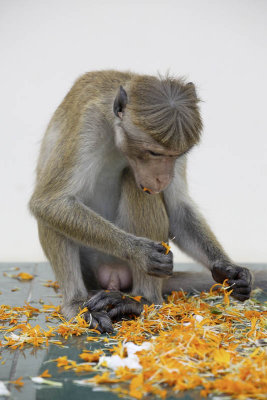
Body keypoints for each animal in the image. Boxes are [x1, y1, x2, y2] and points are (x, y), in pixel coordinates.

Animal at [29, 70, 253, 332]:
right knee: (51, 212)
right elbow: (51, 201)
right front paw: (139, 252)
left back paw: (142, 300)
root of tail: (113, 277)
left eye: (176, 155)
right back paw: (77, 303)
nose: (163, 177)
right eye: (154, 153)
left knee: (136, 184)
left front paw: (229, 269)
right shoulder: (88, 123)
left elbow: (178, 210)